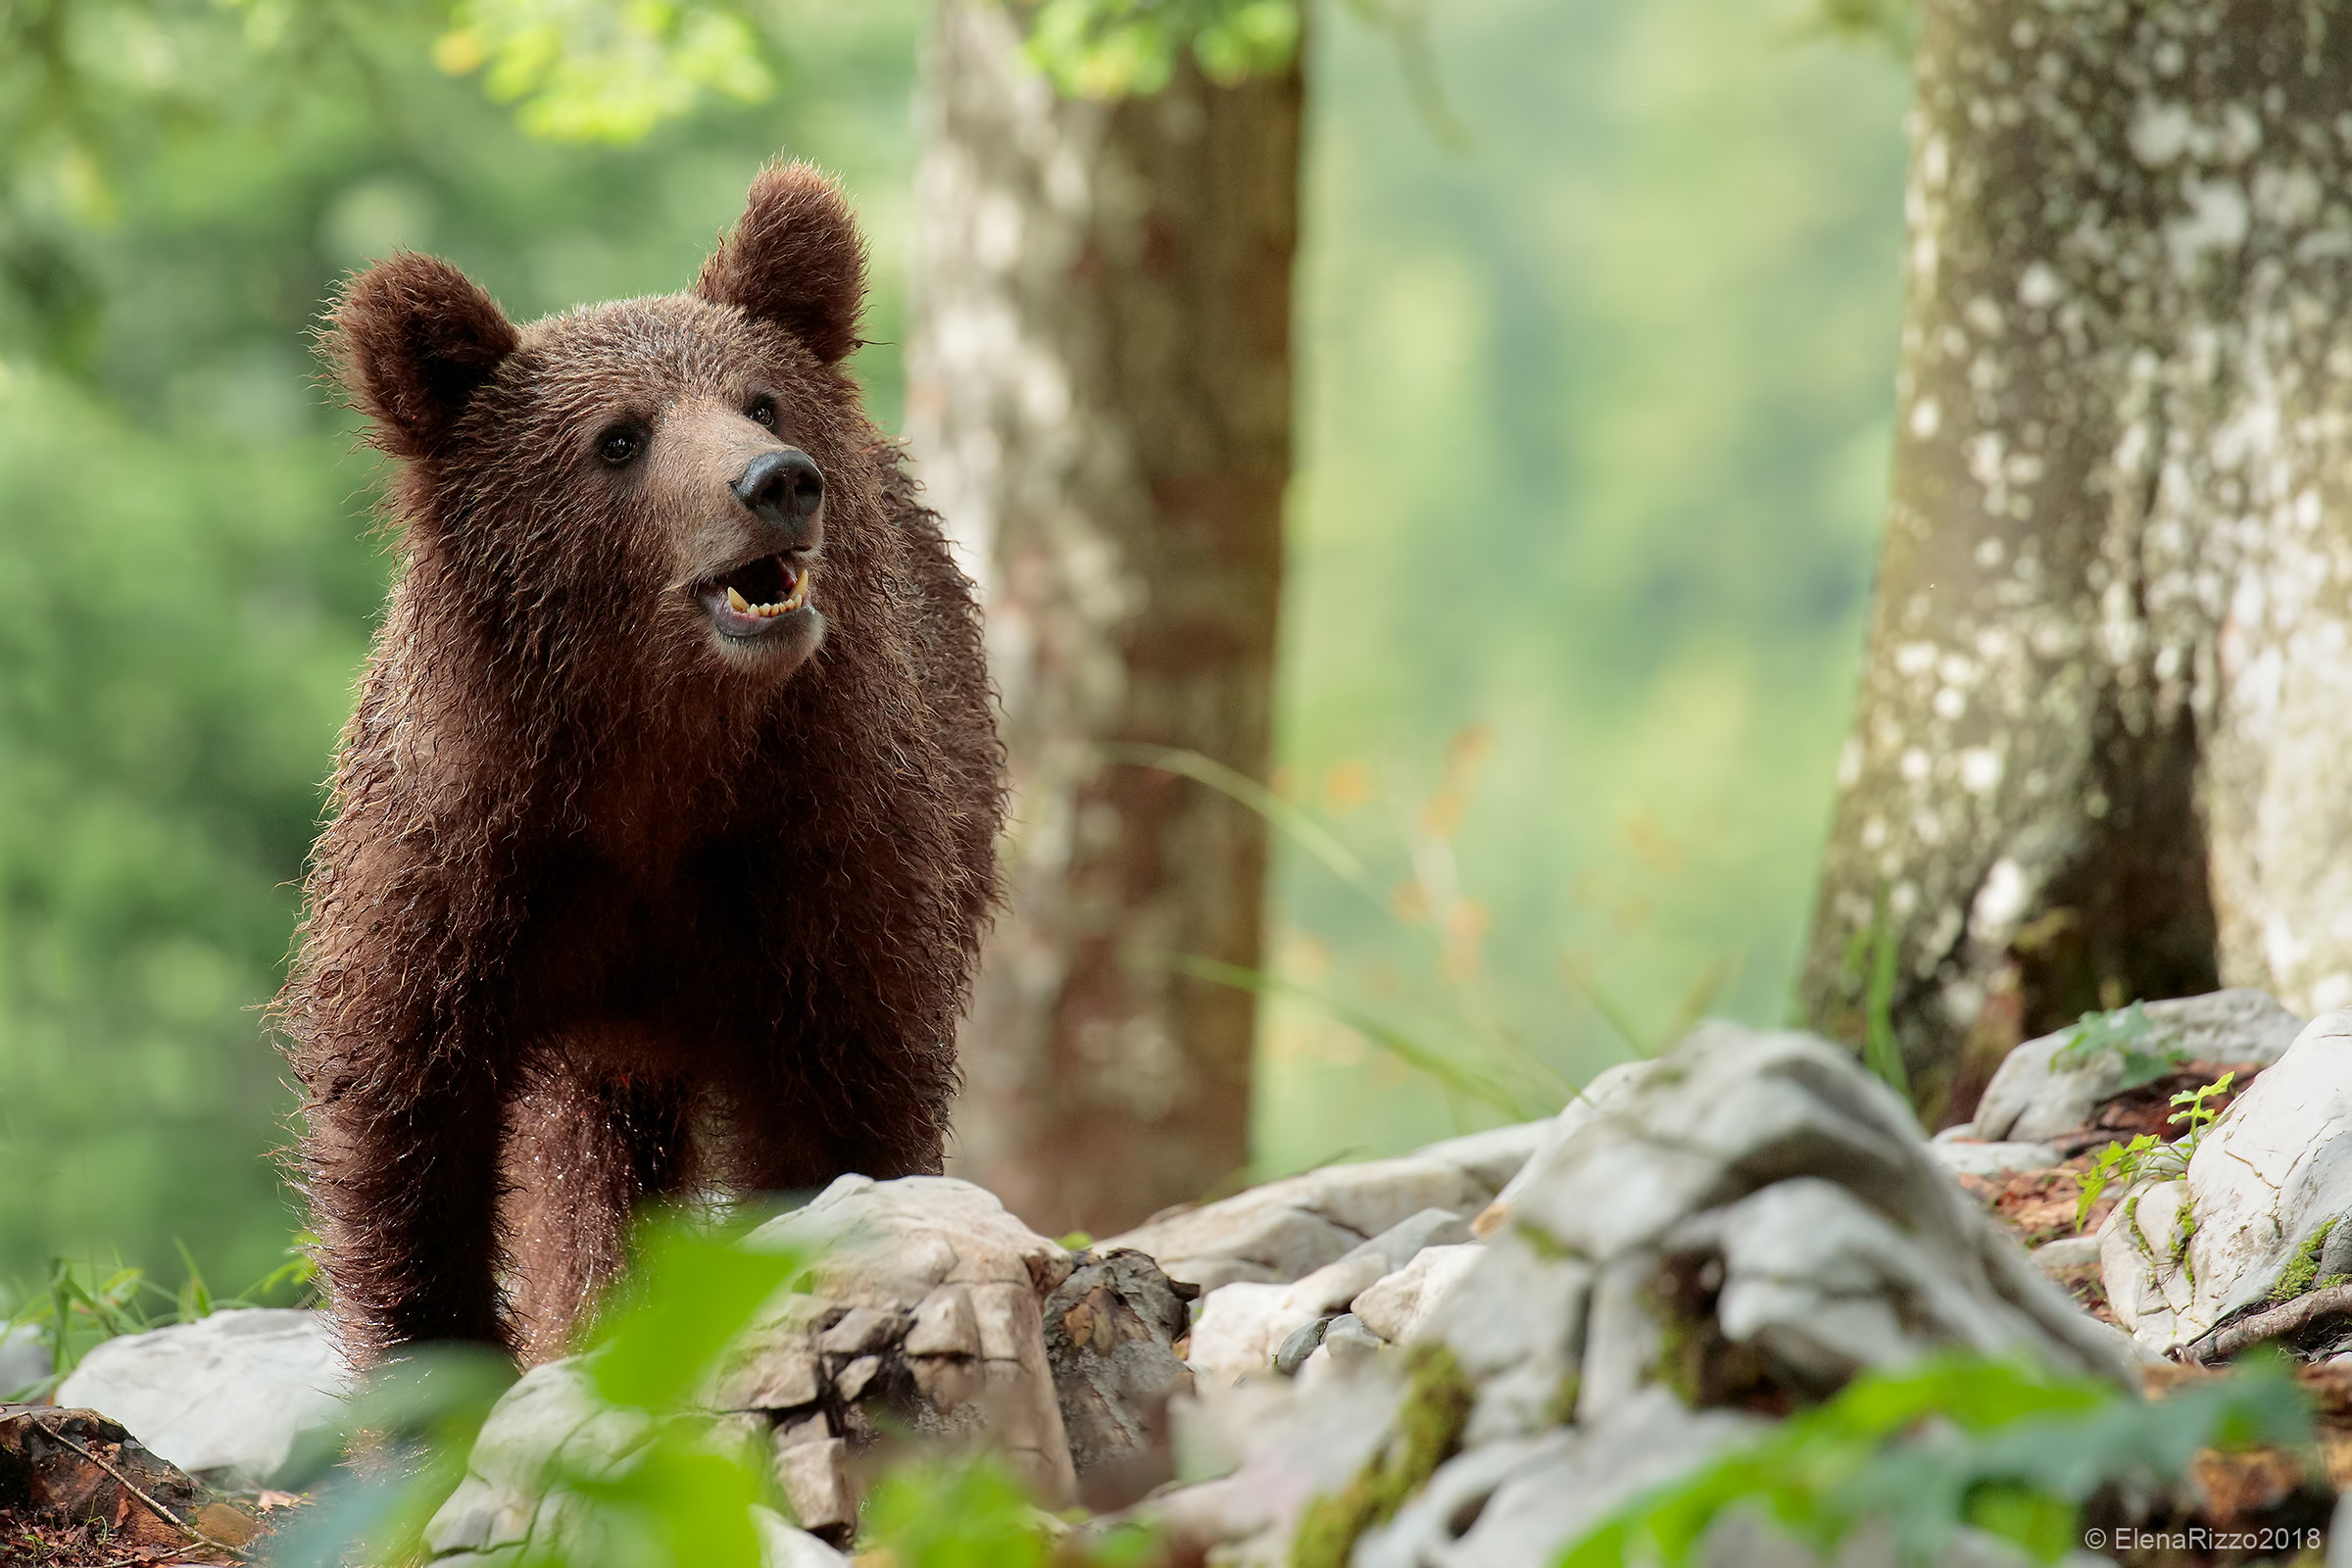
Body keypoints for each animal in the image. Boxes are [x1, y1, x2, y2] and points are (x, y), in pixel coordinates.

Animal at [275, 161, 1003, 1365]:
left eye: (761, 400)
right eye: (618, 437)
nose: (777, 482)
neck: (650, 756)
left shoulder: (818, 867)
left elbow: (843, 1113)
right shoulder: (461, 881)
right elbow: (406, 1133)